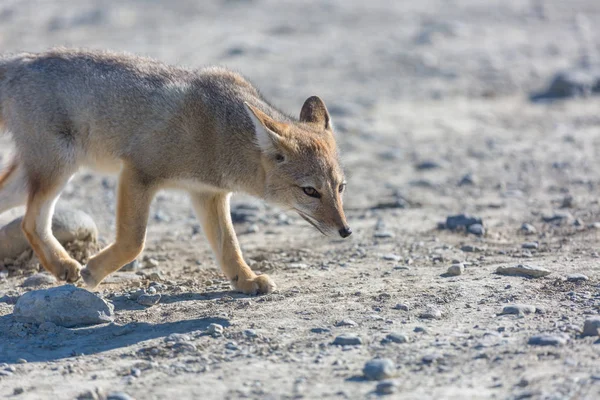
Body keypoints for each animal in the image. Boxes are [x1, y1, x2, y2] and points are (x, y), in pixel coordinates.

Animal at [0, 48, 352, 296]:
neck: (218, 130)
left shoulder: (208, 193)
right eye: (310, 191)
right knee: (31, 222)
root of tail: (20, 60)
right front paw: (94, 272)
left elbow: (229, 246)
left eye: (340, 188)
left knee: (26, 218)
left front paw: (245, 280)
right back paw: (66, 265)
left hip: (39, 177)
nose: (346, 231)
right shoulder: (138, 172)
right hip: (58, 169)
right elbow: (134, 242)